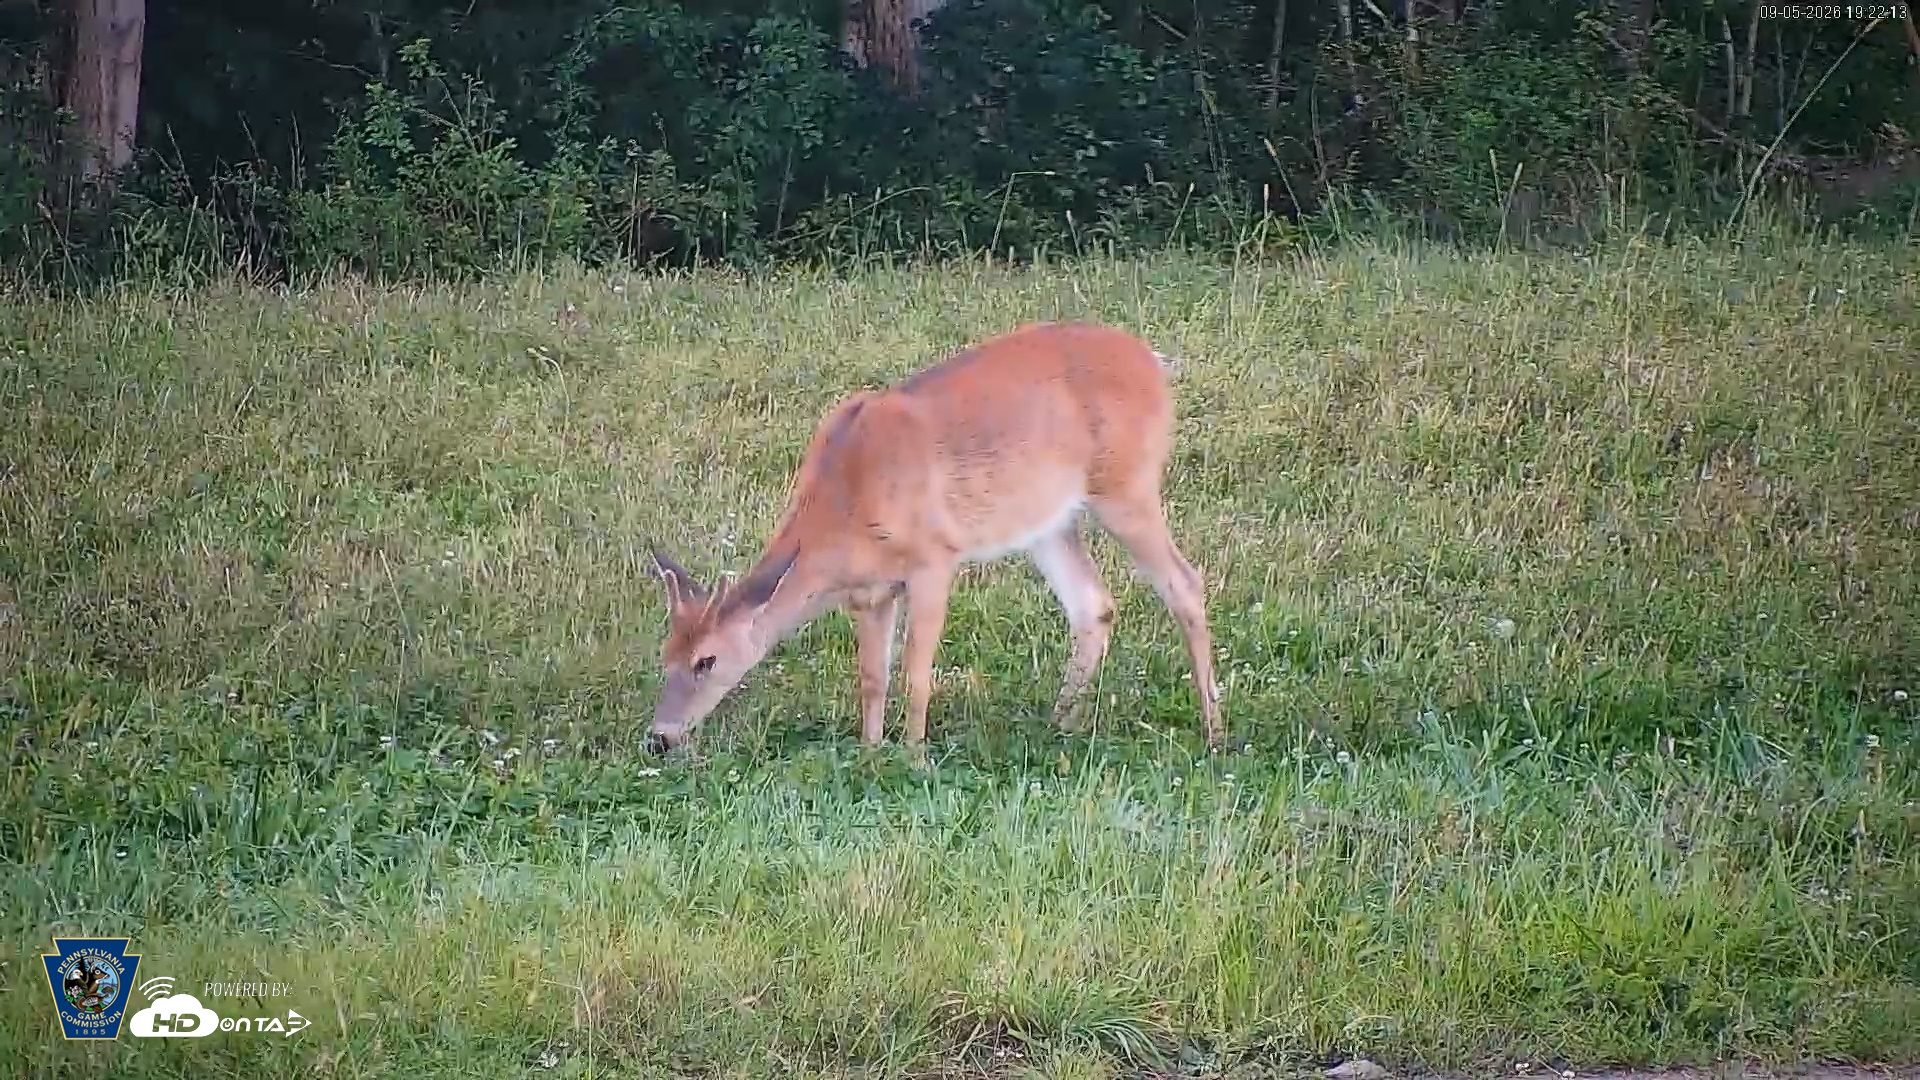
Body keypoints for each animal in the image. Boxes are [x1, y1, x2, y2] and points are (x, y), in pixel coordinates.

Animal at [644, 320, 1223, 754]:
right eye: (665, 655)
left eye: (706, 660)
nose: (659, 737)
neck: (845, 503)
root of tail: (1155, 362)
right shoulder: (870, 592)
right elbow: (872, 678)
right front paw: (870, 753)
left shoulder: (934, 559)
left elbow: (915, 673)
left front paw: (915, 757)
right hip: (1049, 521)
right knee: (1093, 605)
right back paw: (1060, 724)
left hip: (1126, 484)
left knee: (1185, 583)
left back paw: (1214, 731)